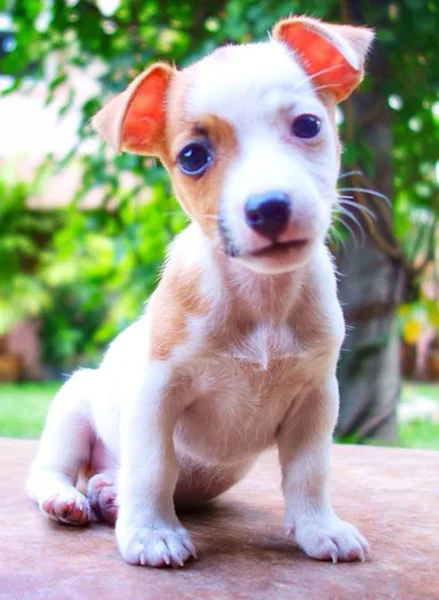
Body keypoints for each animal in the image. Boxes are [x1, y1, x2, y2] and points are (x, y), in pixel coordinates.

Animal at [27, 14, 376, 568]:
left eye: (308, 125)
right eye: (192, 157)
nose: (269, 207)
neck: (260, 299)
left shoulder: (317, 400)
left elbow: (310, 472)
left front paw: (320, 528)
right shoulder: (157, 393)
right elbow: (153, 468)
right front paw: (151, 533)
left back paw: (109, 492)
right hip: (71, 408)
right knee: (48, 473)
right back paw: (71, 498)